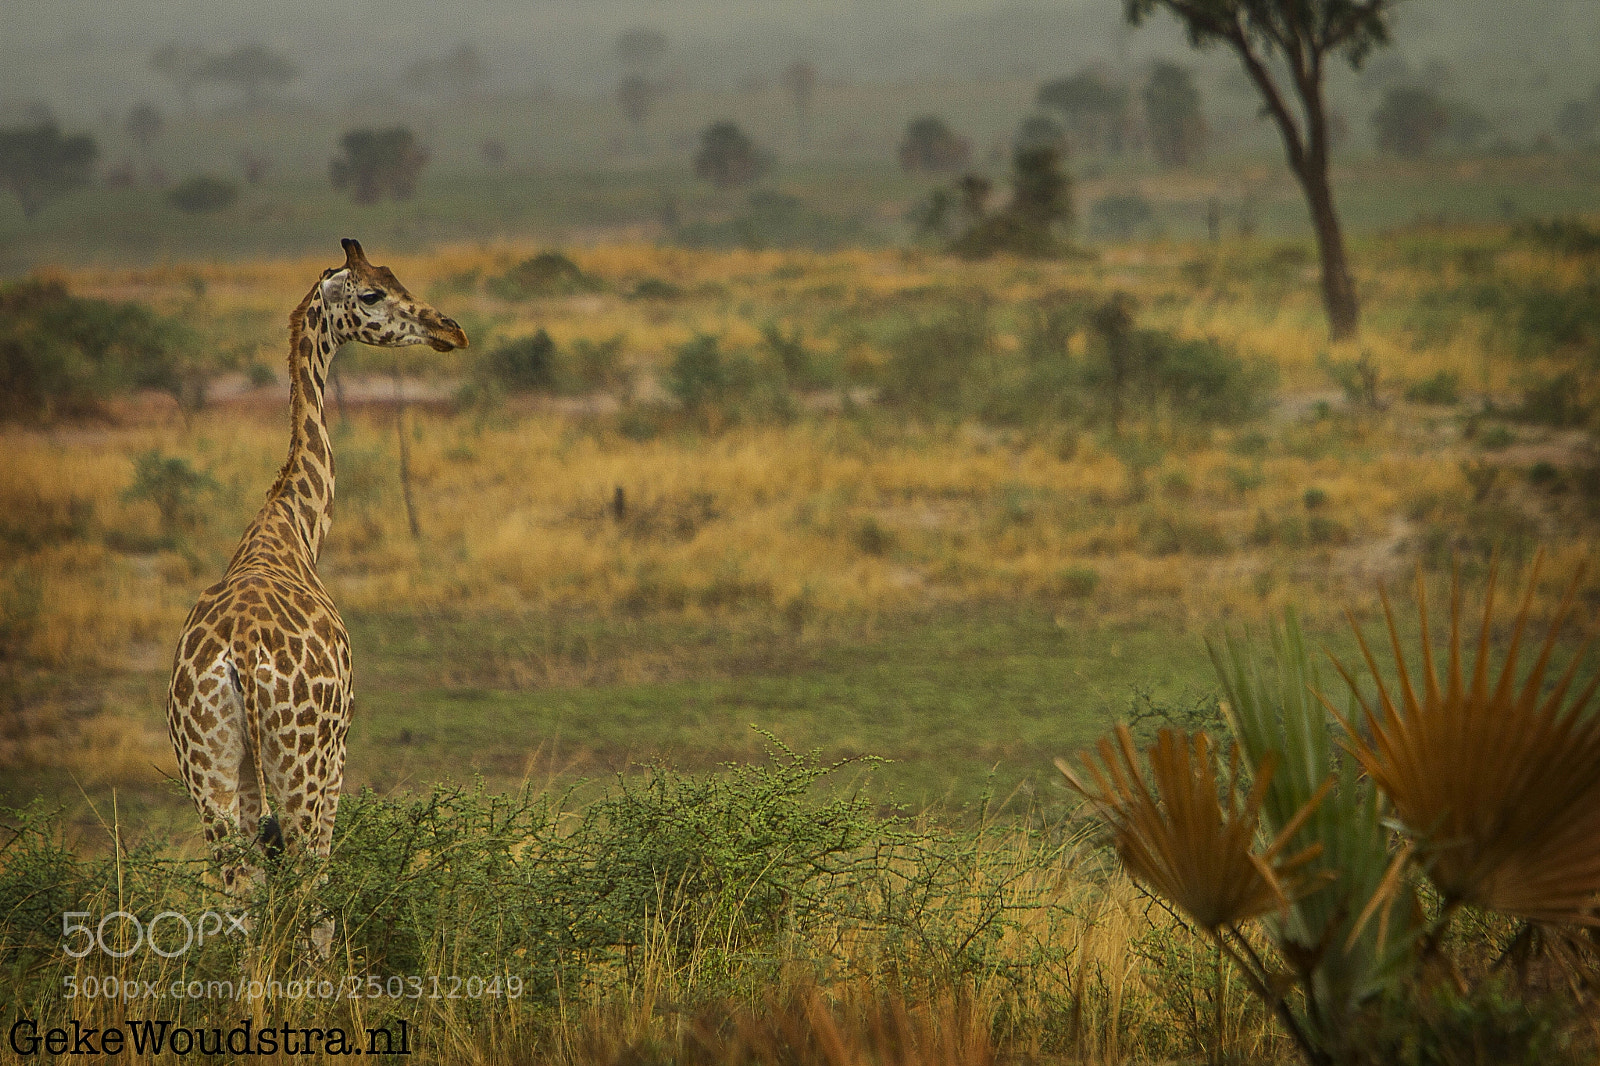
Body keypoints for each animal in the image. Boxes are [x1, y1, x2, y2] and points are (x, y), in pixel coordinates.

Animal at [166, 238, 467, 952]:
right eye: (373, 292)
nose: (450, 330)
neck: (292, 529)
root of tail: (240, 661)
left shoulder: (245, 779)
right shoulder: (338, 755)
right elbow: (323, 900)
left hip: (210, 773)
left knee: (240, 904)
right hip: (302, 767)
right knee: (308, 892)